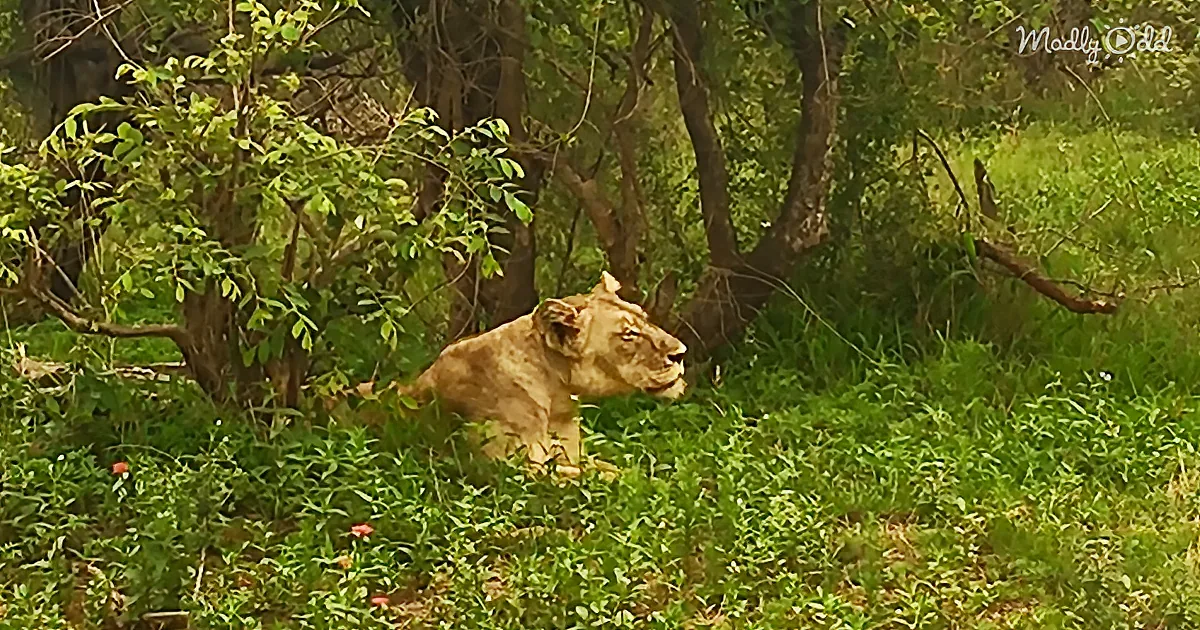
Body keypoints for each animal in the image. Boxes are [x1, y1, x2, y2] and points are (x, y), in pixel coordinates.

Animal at [395, 271, 687, 474]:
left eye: (646, 319)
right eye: (629, 334)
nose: (681, 353)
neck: (557, 398)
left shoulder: (574, 455)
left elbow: (613, 469)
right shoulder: (514, 471)